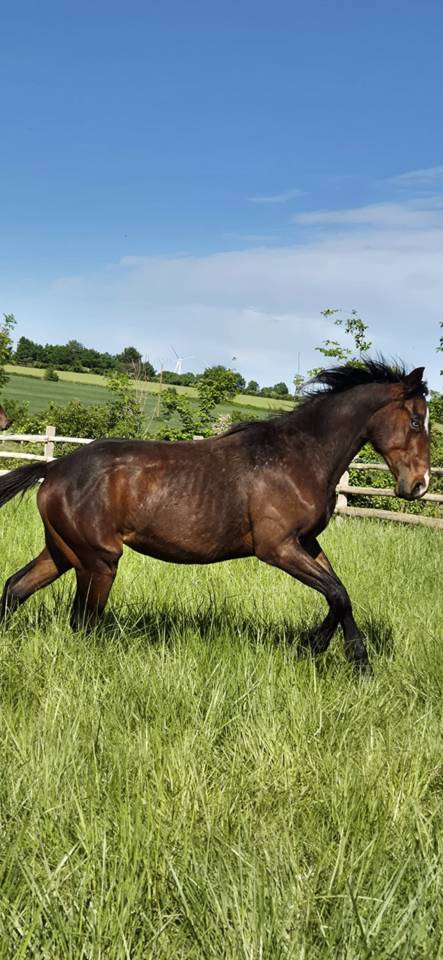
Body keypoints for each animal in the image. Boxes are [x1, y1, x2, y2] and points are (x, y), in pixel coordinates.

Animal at [0, 360, 430, 675]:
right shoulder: (277, 548)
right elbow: (337, 593)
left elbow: (341, 595)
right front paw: (314, 650)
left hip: (64, 552)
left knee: (15, 589)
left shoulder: (307, 542)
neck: (300, 457)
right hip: (98, 562)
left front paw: (356, 663)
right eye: (415, 420)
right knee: (82, 623)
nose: (419, 485)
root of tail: (54, 468)